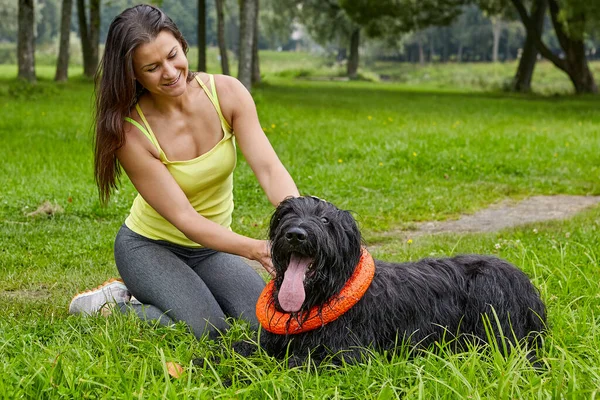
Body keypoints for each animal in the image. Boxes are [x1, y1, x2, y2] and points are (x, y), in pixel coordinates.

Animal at [248, 195, 544, 364]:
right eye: (287, 215)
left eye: (325, 220)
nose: (296, 234)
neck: (328, 290)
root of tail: (528, 288)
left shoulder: (346, 354)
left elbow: (285, 363)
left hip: (490, 298)